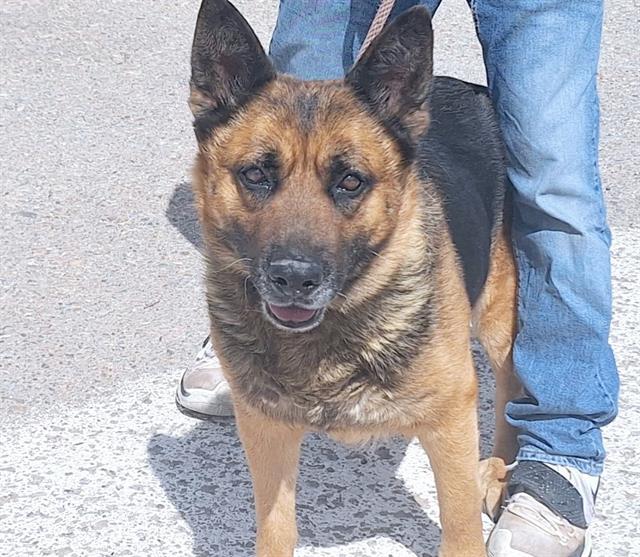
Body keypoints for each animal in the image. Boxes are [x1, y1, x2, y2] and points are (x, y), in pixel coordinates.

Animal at [188, 2, 516, 552]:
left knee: (515, 388)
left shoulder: (449, 419)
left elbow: (461, 524)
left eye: (349, 181)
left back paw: (499, 468)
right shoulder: (266, 430)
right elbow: (276, 527)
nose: (294, 278)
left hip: (498, 321)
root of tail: (471, 87)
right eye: (255, 175)